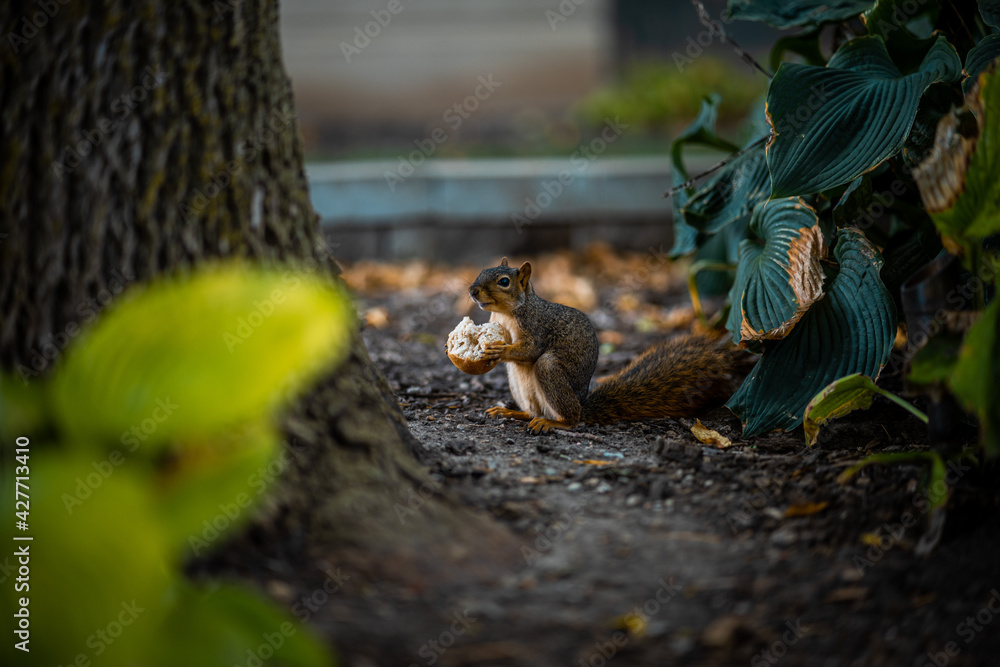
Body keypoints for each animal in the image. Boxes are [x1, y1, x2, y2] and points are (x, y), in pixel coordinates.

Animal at [468, 257, 754, 434]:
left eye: (504, 282)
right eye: (480, 272)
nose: (472, 291)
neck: (506, 313)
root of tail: (582, 403)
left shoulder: (537, 327)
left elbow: (530, 351)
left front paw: (500, 350)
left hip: (551, 372)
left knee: (571, 417)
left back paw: (555, 423)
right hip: (519, 386)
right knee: (531, 412)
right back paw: (513, 413)